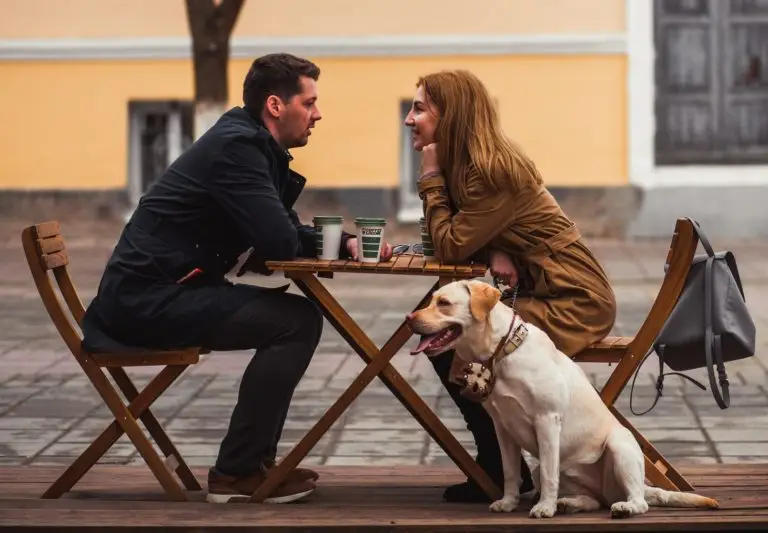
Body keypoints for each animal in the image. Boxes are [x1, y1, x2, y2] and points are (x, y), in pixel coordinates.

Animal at [412, 276, 716, 516]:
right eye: (431, 301)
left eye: (444, 303)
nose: (409, 319)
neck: (502, 352)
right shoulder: (503, 428)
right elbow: (510, 472)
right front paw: (508, 502)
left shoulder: (546, 420)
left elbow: (549, 472)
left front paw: (545, 508)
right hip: (573, 478)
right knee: (595, 501)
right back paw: (570, 503)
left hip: (619, 444)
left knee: (638, 502)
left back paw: (622, 507)